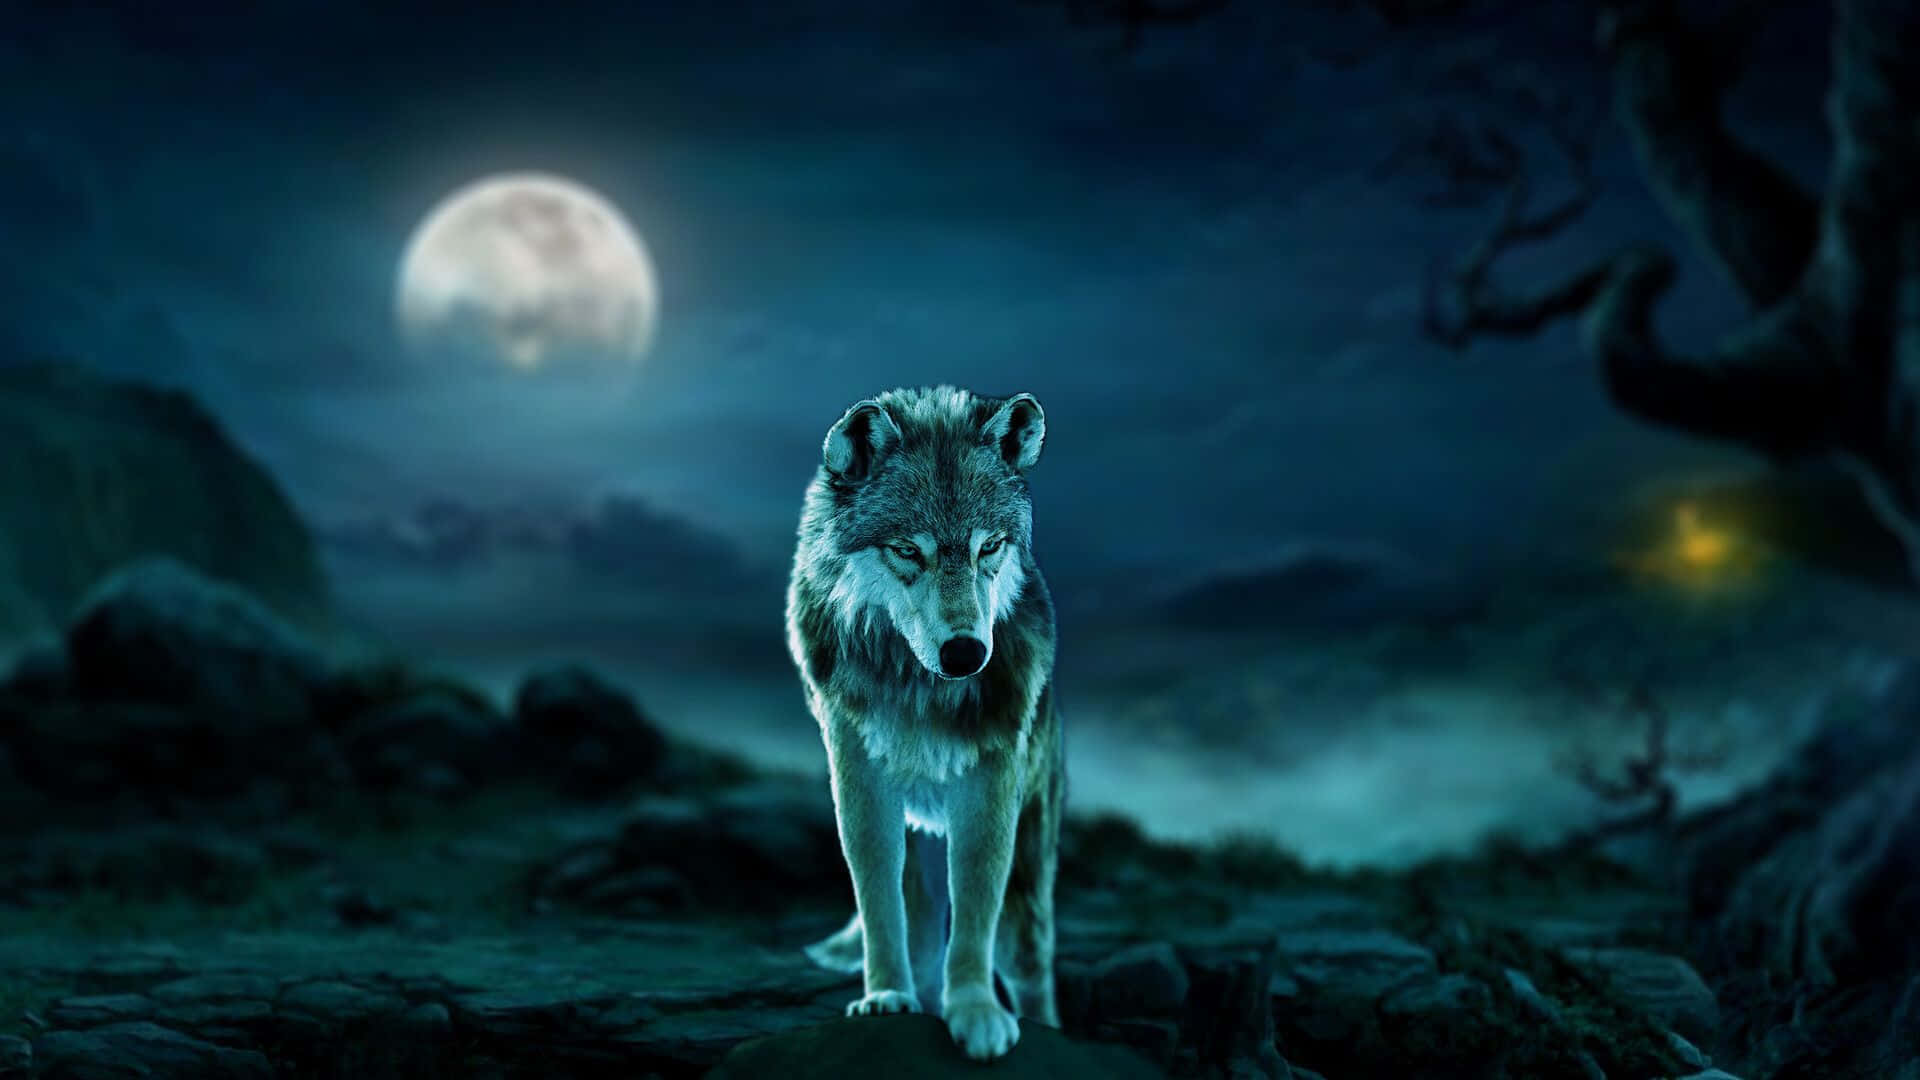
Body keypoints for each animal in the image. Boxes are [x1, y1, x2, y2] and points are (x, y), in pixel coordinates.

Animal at [785, 385, 1064, 1061]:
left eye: (989, 546)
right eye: (908, 550)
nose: (965, 654)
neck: (920, 692)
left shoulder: (991, 784)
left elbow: (976, 910)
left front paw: (976, 1011)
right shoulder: (857, 776)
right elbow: (879, 902)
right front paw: (886, 996)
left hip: (1029, 875)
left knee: (1028, 962)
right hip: (919, 845)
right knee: (921, 927)